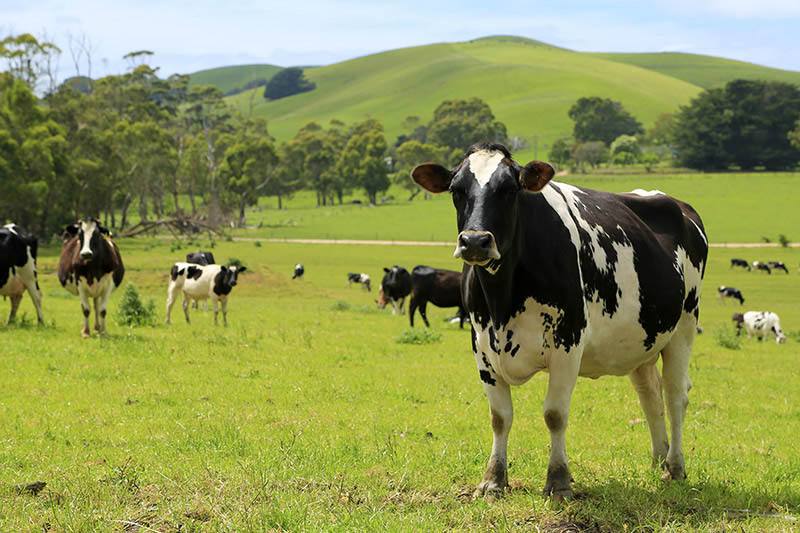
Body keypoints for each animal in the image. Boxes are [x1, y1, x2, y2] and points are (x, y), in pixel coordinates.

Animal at [412, 142, 708, 498]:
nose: (474, 241)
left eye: (509, 189)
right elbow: (500, 417)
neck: (503, 301)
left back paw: (674, 467)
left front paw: (558, 480)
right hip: (642, 340)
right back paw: (658, 459)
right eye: (456, 190)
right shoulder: (481, 345)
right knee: (650, 396)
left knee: (676, 394)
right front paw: (493, 480)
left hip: (684, 327)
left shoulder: (568, 342)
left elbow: (554, 414)